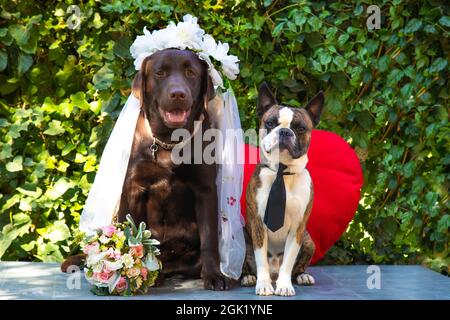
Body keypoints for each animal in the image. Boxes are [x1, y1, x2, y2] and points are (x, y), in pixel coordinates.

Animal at [243, 83, 324, 298]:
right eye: (270, 123)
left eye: (301, 128)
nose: (285, 132)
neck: (282, 171)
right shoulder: (258, 224)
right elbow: (260, 259)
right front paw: (263, 285)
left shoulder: (297, 228)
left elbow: (288, 261)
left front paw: (285, 285)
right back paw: (248, 277)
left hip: (309, 241)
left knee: (296, 267)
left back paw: (302, 276)